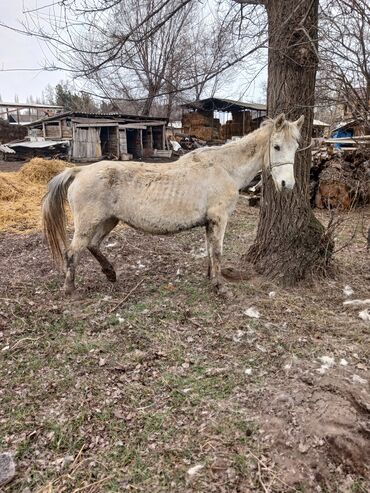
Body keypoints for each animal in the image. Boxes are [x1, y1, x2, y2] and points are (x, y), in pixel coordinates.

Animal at [42, 113, 304, 294]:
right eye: (276, 146)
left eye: (296, 147)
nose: (287, 184)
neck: (224, 168)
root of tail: (79, 171)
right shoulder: (219, 218)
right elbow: (217, 251)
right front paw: (220, 287)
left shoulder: (210, 222)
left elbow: (210, 251)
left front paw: (211, 278)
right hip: (89, 223)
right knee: (73, 252)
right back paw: (70, 289)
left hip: (109, 220)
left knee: (93, 245)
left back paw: (110, 273)